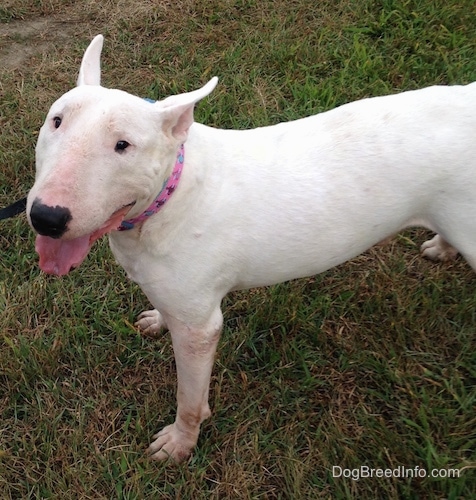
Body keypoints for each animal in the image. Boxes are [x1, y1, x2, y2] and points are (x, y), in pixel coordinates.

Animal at [27, 35, 474, 460]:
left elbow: (190, 397)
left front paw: (180, 444)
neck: (170, 195)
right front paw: (157, 320)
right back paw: (441, 247)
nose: (46, 217)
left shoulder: (201, 328)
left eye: (124, 145)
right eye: (56, 121)